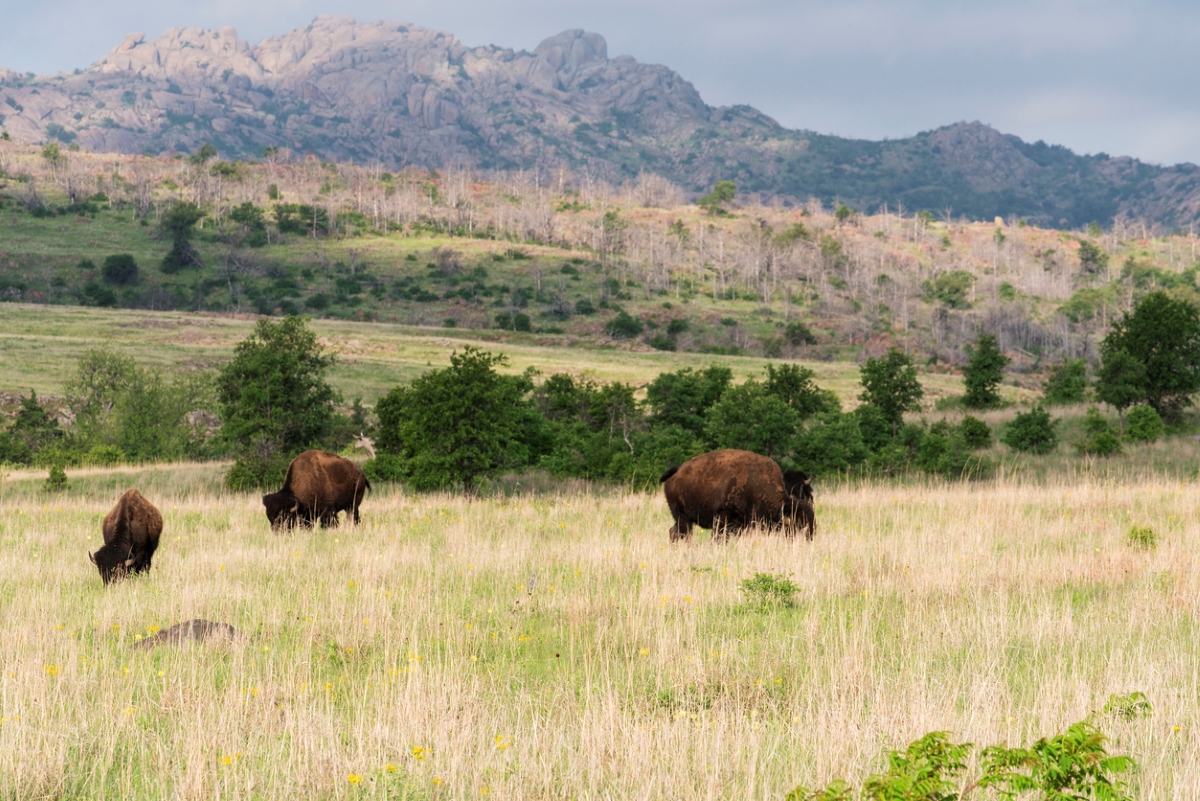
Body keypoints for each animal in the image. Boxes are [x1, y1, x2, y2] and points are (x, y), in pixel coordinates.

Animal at [657, 450, 816, 544]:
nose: (810, 538)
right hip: (682, 517)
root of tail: (676, 472)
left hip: (682, 519)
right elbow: (718, 538)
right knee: (683, 534)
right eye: (798, 526)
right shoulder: (722, 519)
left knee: (674, 532)